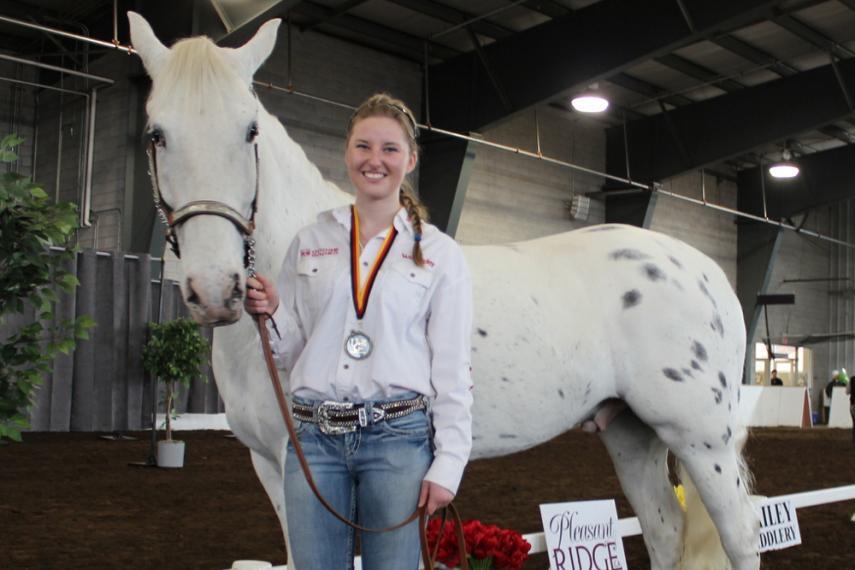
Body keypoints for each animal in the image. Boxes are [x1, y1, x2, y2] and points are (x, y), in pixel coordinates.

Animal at [129, 13, 764, 568]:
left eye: (250, 130)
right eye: (156, 133)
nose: (218, 289)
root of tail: (707, 272)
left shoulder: (303, 462)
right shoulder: (272, 464)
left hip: (701, 439)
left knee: (740, 540)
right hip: (633, 435)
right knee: (665, 534)